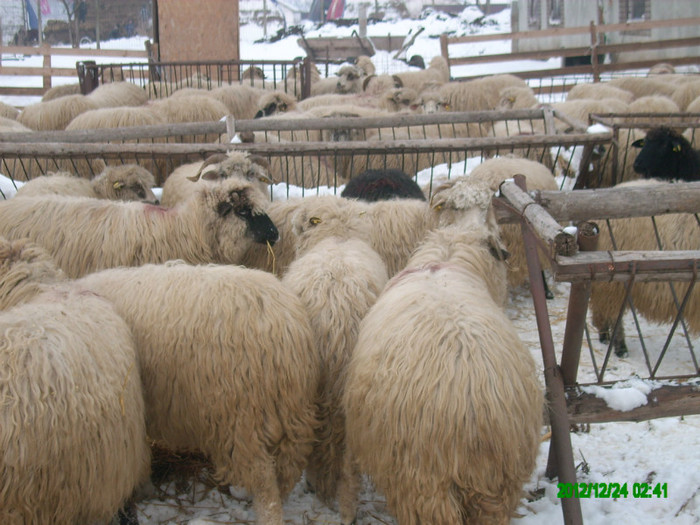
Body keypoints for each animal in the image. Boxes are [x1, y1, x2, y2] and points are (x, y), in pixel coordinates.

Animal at [76, 262, 320, 524]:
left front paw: (142, 488)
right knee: (287, 469)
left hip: (242, 414)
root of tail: (285, 323)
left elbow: (138, 455)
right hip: (291, 411)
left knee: (263, 479)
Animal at [338, 177, 540, 524]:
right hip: (494, 486)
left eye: (488, 206)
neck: (453, 247)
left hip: (426, 483)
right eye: (457, 205)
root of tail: (471, 409)